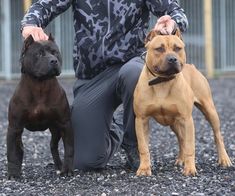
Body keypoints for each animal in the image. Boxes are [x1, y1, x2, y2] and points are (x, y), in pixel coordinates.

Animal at [7, 34, 73, 179]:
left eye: (55, 52)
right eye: (39, 54)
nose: (53, 61)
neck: (40, 86)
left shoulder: (65, 124)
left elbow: (69, 148)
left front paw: (68, 170)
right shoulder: (14, 127)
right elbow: (12, 152)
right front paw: (13, 174)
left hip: (56, 129)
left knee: (53, 145)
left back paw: (59, 166)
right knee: (20, 148)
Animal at [133, 29, 232, 176]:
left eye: (177, 48)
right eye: (159, 48)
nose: (172, 59)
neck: (162, 82)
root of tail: (192, 67)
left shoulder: (187, 119)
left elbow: (190, 146)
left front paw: (190, 168)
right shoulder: (141, 120)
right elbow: (143, 147)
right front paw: (144, 168)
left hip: (210, 111)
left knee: (217, 136)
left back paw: (224, 159)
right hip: (174, 122)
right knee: (181, 139)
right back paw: (181, 159)